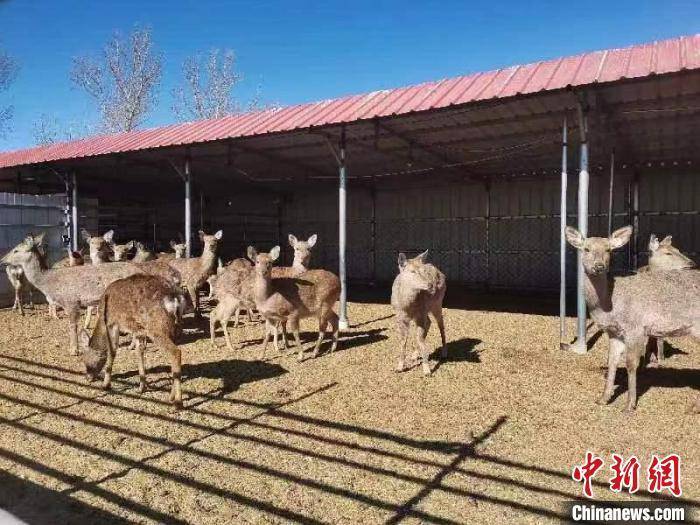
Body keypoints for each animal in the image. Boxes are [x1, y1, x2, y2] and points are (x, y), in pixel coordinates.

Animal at [1, 232, 144, 352]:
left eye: (16, 250)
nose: (2, 260)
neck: (49, 282)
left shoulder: (71, 300)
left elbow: (72, 325)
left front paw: (74, 350)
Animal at [78, 274, 186, 410]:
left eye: (84, 359)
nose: (87, 377)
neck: (102, 318)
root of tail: (175, 299)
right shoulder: (139, 329)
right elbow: (139, 351)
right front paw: (142, 387)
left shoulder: (113, 323)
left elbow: (112, 351)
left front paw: (106, 385)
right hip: (174, 327)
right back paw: (171, 397)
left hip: (156, 328)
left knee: (176, 352)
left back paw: (178, 402)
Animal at [568, 225, 696, 414]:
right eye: (586, 249)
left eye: (608, 249)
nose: (599, 266)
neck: (609, 305)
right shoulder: (614, 332)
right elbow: (611, 361)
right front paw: (603, 399)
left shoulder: (635, 327)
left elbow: (630, 363)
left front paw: (629, 405)